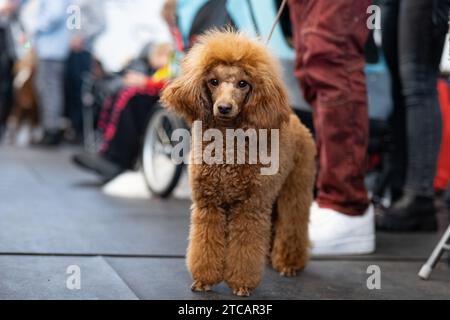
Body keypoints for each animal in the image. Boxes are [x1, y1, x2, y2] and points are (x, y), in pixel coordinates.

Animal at [163, 30, 316, 298]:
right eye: (213, 81)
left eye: (243, 84)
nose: (224, 107)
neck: (227, 145)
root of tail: (295, 119)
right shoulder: (209, 204)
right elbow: (205, 244)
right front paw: (204, 280)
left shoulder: (249, 207)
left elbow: (245, 250)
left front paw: (242, 284)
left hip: (294, 189)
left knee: (292, 224)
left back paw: (288, 264)